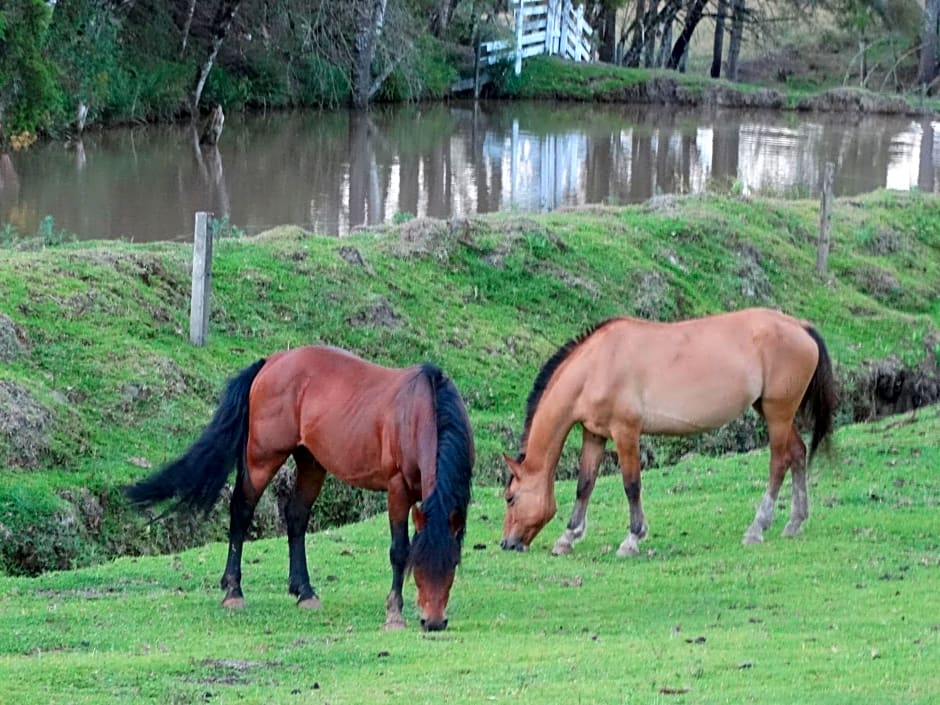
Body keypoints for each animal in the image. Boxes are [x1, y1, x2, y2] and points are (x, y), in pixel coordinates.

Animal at [125, 346, 474, 632]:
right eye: (420, 565)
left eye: (452, 564)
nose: (434, 622)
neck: (420, 413)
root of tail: (270, 362)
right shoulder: (397, 489)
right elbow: (398, 550)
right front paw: (394, 614)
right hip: (262, 458)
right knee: (241, 510)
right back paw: (233, 591)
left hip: (311, 463)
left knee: (295, 516)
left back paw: (304, 591)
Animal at [500, 306, 836, 556]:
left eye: (510, 498)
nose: (507, 543)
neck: (597, 364)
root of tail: (800, 326)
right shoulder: (594, 434)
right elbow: (585, 484)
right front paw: (568, 537)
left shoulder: (626, 432)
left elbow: (631, 485)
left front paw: (632, 539)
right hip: (772, 411)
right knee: (798, 453)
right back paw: (794, 522)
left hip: (778, 413)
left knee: (779, 462)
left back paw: (757, 528)